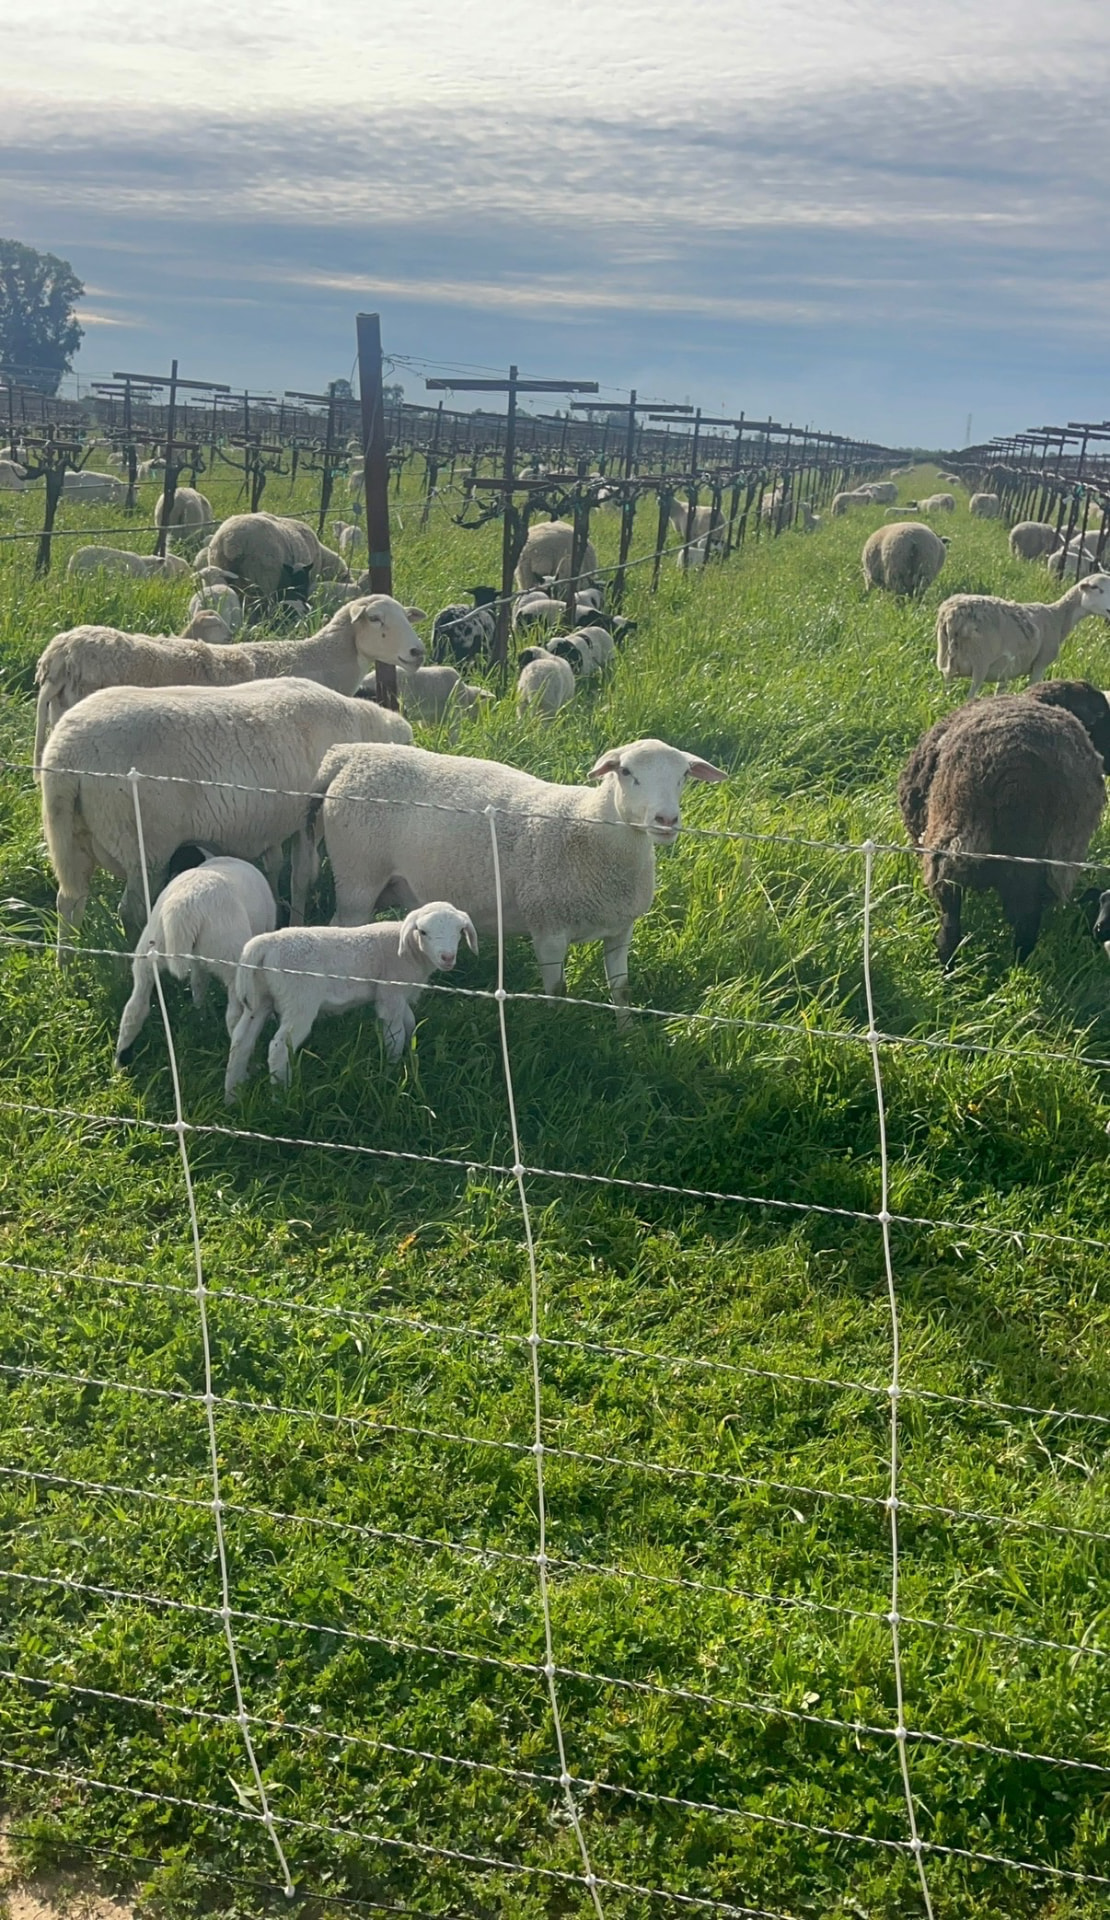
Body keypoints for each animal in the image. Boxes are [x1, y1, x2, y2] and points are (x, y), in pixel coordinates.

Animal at [39, 676, 414, 945]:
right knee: (130, 910)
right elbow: (302, 877)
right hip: (144, 842)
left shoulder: (276, 822)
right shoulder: (309, 821)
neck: (360, 728)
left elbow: (275, 866)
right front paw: (297, 922)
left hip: (74, 835)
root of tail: (65, 754)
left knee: (69, 900)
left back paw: (67, 965)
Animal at [115, 854, 278, 1064]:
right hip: (231, 958)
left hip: (148, 954)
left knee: (134, 1009)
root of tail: (183, 908)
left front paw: (200, 1013)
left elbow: (198, 982)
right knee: (234, 1017)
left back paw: (120, 1062)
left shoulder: (197, 960)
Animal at [224, 901, 478, 1095]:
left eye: (459, 931)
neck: (410, 951)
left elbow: (410, 1023)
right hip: (299, 999)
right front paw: (391, 1070)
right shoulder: (390, 993)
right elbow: (395, 1035)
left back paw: (233, 1093)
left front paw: (410, 1055)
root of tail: (265, 944)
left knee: (241, 1040)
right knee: (278, 1048)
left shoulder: (399, 995)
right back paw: (281, 1097)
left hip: (259, 996)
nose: (447, 957)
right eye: (423, 932)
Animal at [308, 738, 726, 1009]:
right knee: (341, 927)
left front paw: (626, 1035)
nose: (667, 820)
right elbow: (557, 992)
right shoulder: (549, 929)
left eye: (684, 775)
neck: (589, 827)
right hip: (358, 877)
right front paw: (558, 1030)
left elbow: (621, 992)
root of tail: (348, 756)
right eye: (625, 771)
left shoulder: (620, 928)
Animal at [934, 574, 1110, 697]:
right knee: (969, 697)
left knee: (947, 690)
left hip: (946, 659)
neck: (1058, 618)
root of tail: (953, 613)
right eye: (1096, 588)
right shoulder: (1040, 665)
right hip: (980, 661)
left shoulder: (1004, 671)